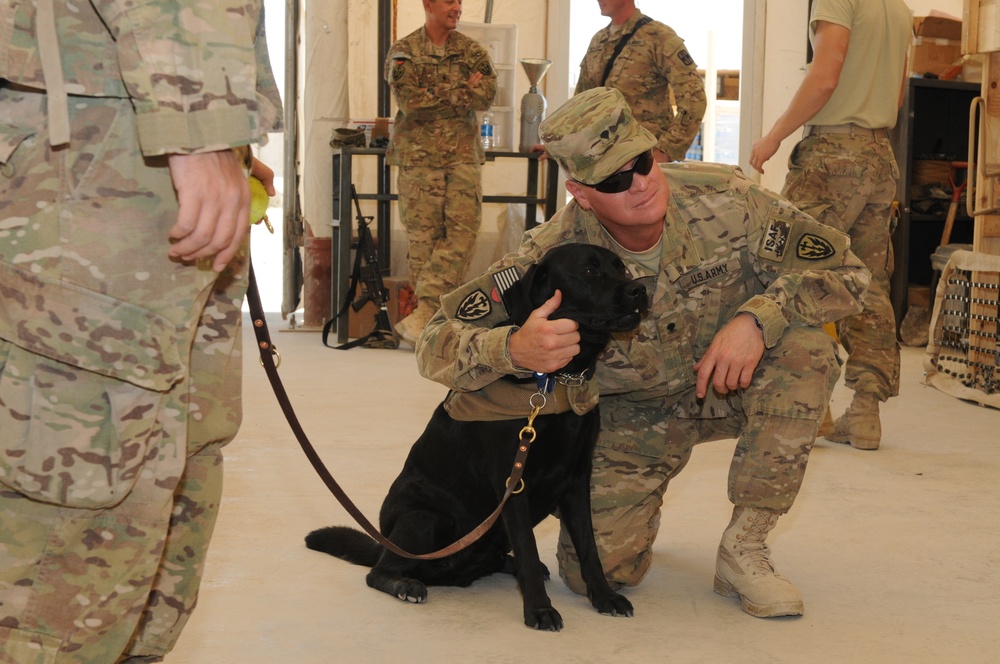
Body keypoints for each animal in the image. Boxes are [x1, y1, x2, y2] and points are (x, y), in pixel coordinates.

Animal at [304, 241, 648, 632]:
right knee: (379, 571)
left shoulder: (577, 479)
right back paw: (406, 584)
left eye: (620, 267)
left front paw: (603, 597)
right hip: (423, 519)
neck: (555, 380)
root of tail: (386, 542)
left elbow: (588, 548)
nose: (640, 291)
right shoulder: (513, 482)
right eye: (589, 271)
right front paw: (539, 610)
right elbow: (528, 546)